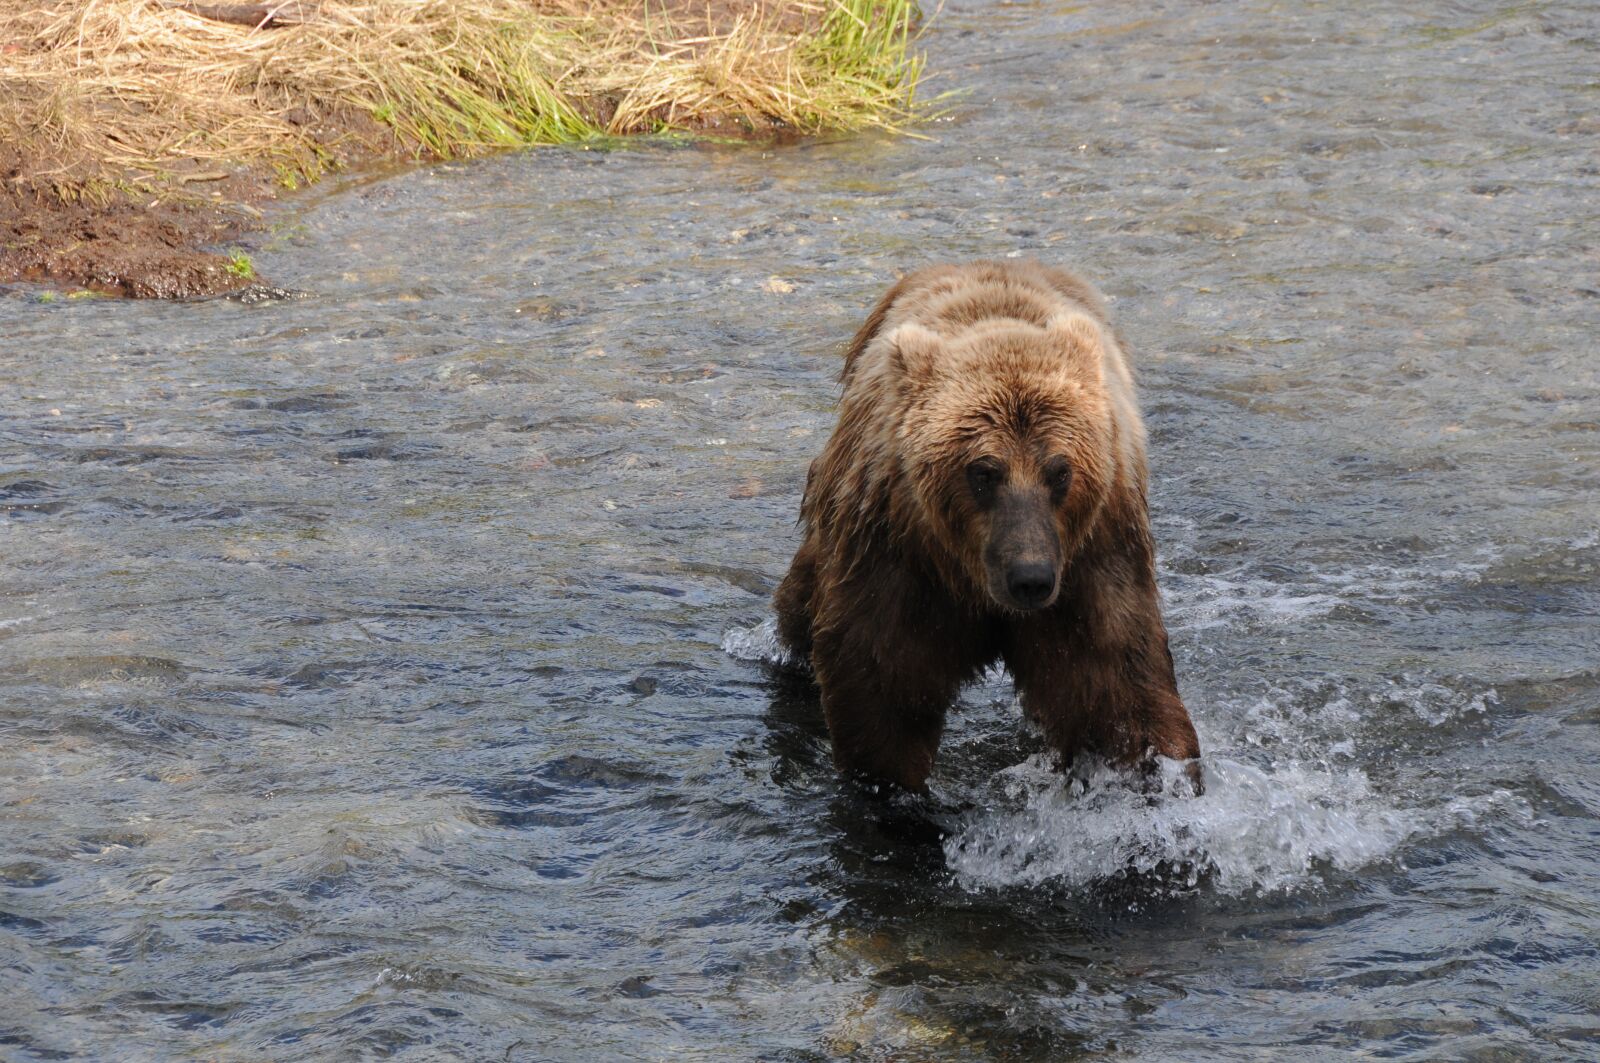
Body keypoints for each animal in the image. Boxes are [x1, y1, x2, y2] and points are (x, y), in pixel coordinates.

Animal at [771, 259, 1203, 787]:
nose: (1030, 579)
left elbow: (1116, 685)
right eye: (983, 471)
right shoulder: (899, 556)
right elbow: (883, 686)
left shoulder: (1093, 559)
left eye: (1059, 471)